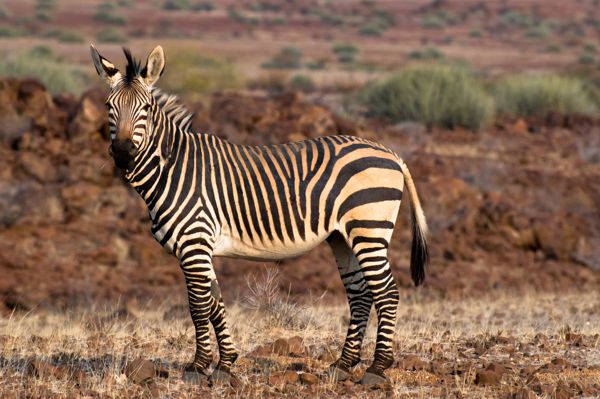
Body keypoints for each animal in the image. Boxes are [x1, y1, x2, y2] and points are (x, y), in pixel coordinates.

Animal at [89, 45, 428, 386]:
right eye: (108, 106)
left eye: (146, 108)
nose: (122, 153)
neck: (173, 168)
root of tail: (390, 153)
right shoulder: (201, 248)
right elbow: (215, 304)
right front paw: (225, 364)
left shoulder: (194, 243)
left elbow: (198, 306)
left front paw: (198, 368)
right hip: (343, 237)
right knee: (360, 295)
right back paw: (343, 365)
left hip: (368, 229)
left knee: (387, 293)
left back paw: (377, 369)